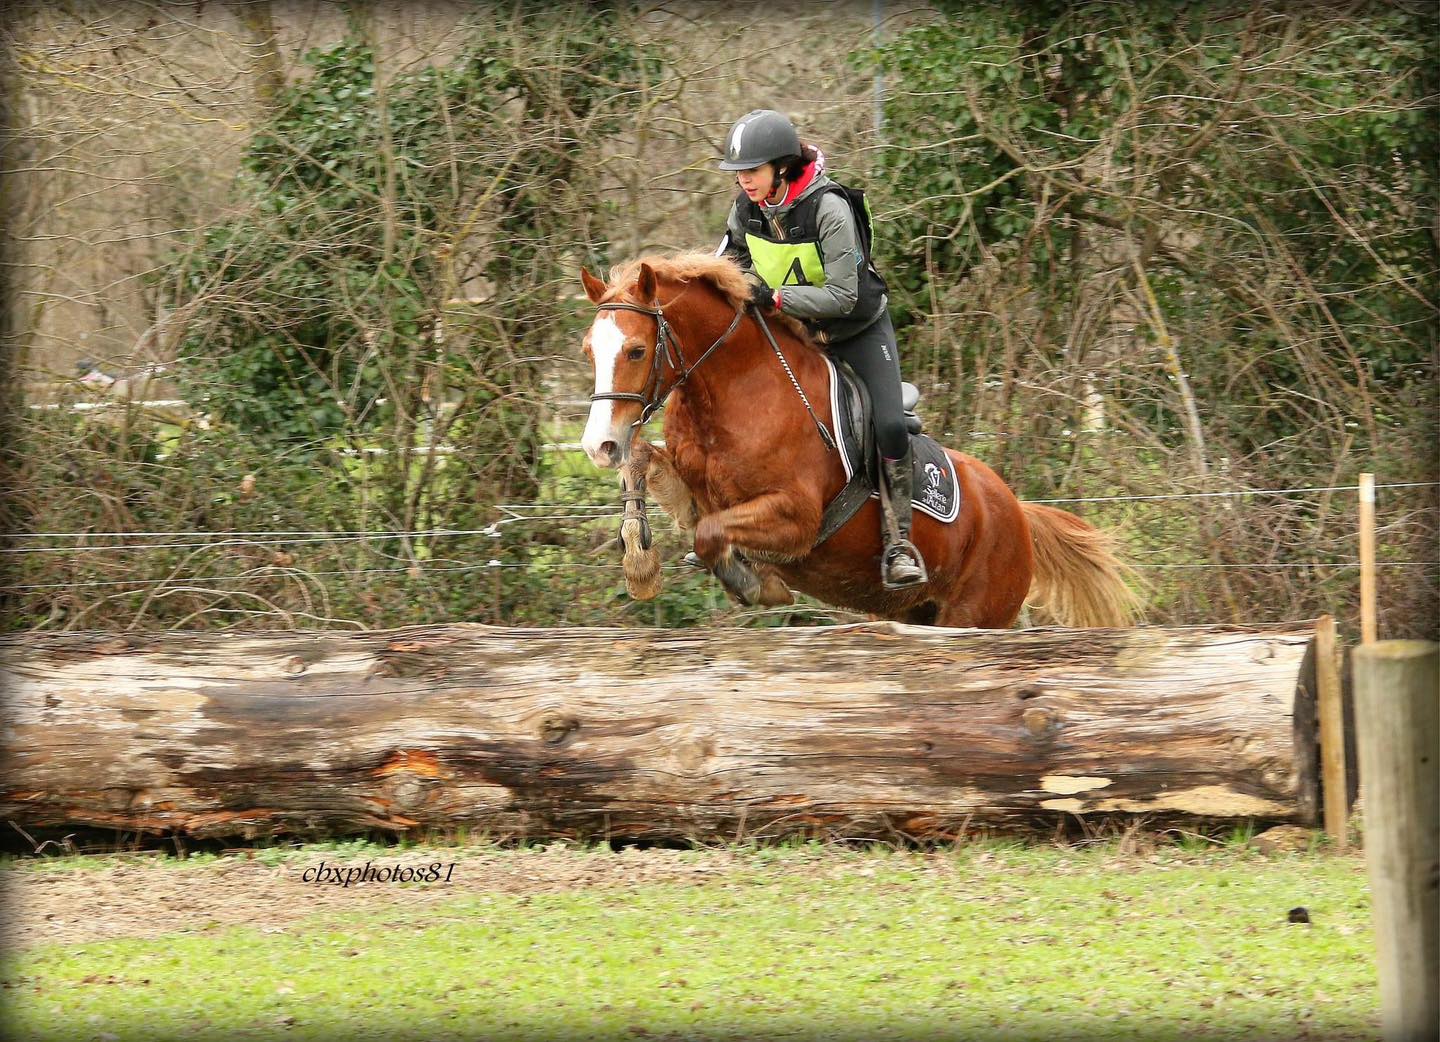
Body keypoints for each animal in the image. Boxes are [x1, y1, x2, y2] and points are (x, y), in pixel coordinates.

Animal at [573, 251, 1134, 627]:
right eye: (588, 350)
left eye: (638, 350)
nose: (598, 446)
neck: (733, 388)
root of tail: (1018, 511)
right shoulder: (694, 493)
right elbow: (645, 465)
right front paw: (639, 562)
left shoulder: (796, 518)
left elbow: (711, 534)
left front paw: (759, 585)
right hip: (916, 613)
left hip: (974, 613)